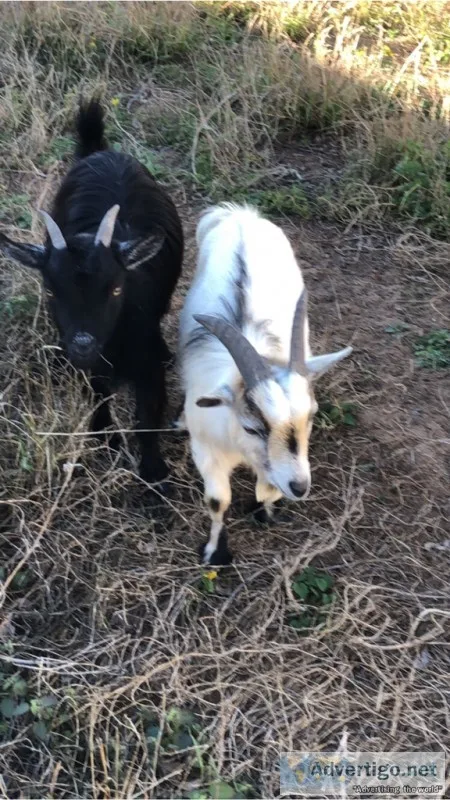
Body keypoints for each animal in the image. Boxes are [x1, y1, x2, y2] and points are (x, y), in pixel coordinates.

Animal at [0, 99, 183, 485]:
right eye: (50, 291)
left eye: (116, 289)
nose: (82, 343)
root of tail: (101, 152)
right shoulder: (92, 365)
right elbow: (97, 395)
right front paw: (107, 437)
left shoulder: (145, 358)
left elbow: (149, 412)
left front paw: (154, 474)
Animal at [179, 203, 352, 564]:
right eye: (252, 427)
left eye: (312, 417)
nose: (300, 487)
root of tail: (241, 216)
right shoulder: (206, 449)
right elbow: (218, 501)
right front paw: (214, 552)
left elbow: (268, 488)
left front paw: (266, 512)